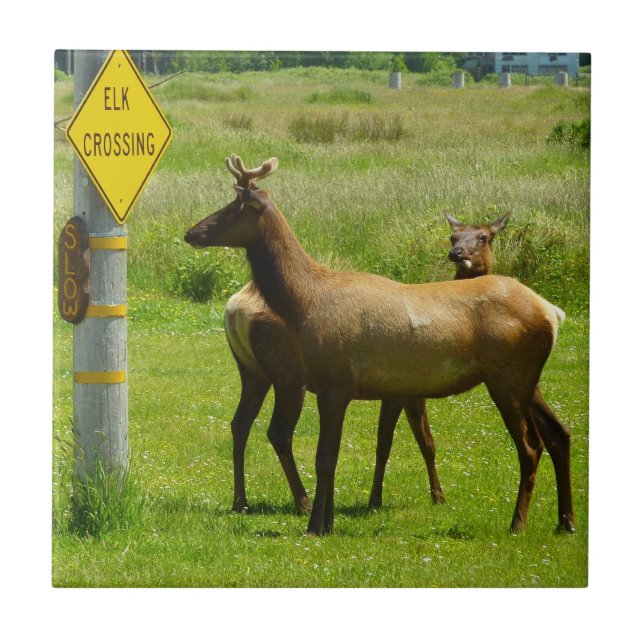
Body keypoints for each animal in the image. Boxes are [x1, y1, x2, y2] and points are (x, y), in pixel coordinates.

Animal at [184, 155, 575, 536]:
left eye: (233, 207)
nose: (192, 232)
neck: (305, 304)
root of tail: (552, 312)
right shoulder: (339, 387)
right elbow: (336, 454)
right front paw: (328, 522)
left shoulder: (337, 382)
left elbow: (325, 457)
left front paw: (316, 526)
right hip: (526, 379)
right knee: (559, 433)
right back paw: (565, 521)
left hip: (508, 377)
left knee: (531, 446)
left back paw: (518, 523)